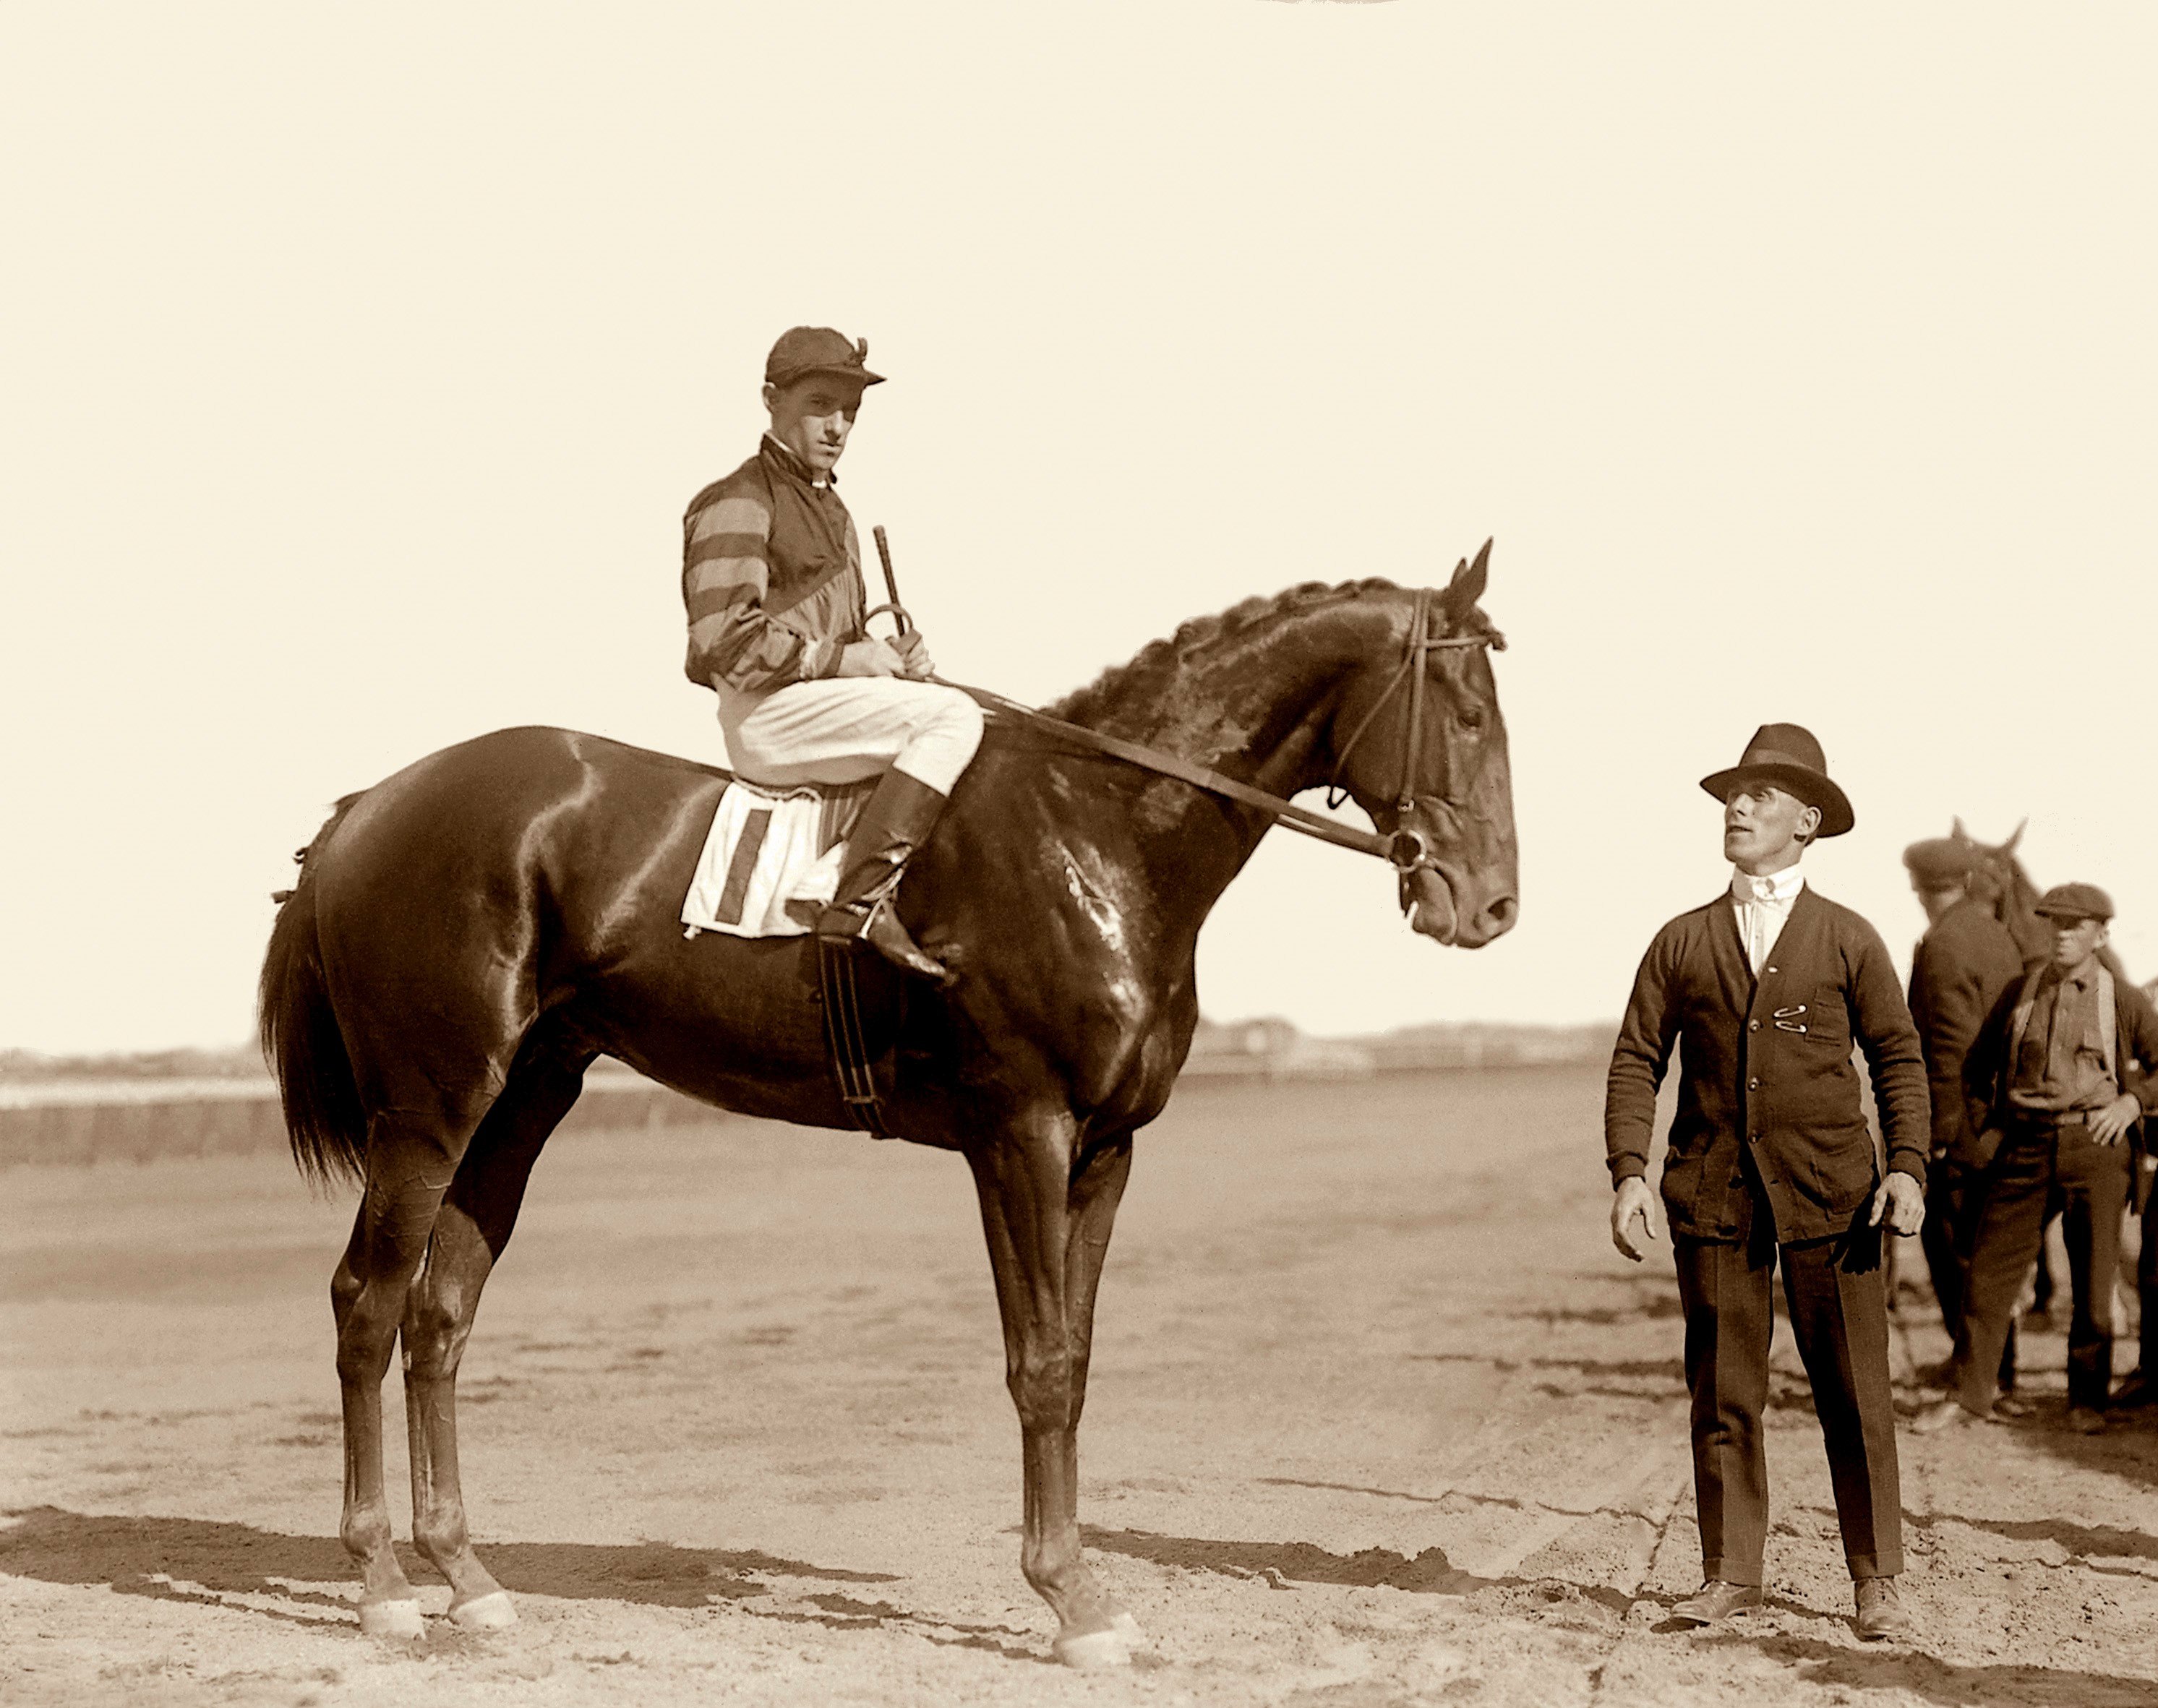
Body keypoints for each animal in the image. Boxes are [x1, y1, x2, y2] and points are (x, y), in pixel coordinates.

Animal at [261, 552, 1519, 1665]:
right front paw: (1070, 1600)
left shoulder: (1105, 1150)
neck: (1093, 831)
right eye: (1466, 710)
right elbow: (1040, 1364)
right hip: (429, 1107)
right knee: (367, 1303)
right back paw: (381, 1583)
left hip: (521, 1103)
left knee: (440, 1315)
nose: (1493, 904)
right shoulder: (1021, 1133)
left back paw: (467, 1577)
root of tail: (371, 803)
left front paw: (1081, 1587)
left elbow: (1077, 1355)